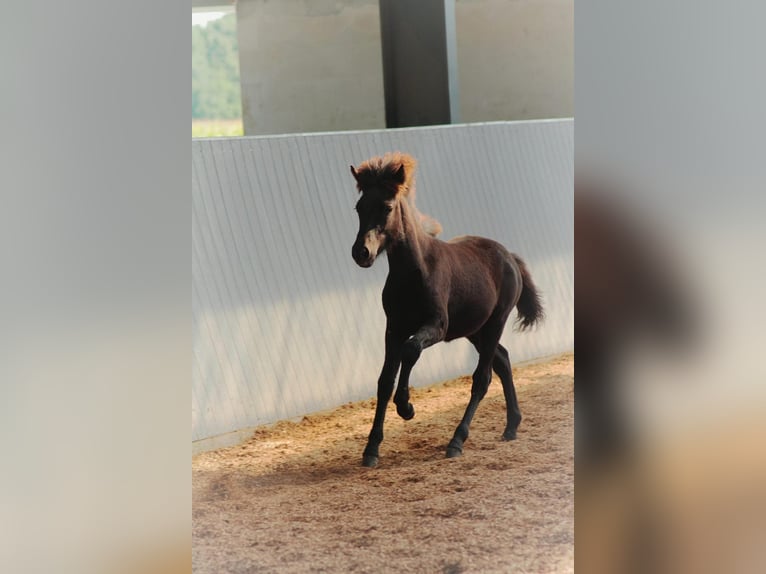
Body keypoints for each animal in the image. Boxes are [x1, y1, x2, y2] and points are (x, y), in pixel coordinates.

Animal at [350, 152, 544, 467]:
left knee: (482, 378)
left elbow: (411, 351)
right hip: (474, 330)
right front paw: (371, 449)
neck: (414, 272)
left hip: (495, 323)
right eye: (359, 207)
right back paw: (511, 426)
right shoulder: (393, 329)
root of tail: (509, 256)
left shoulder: (436, 327)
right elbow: (384, 381)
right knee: (502, 359)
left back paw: (456, 441)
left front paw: (407, 407)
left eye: (387, 207)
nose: (361, 253)